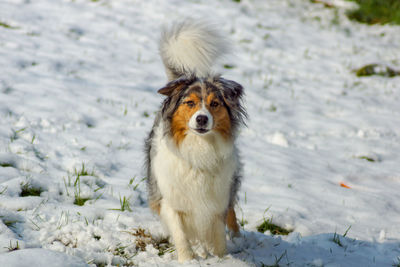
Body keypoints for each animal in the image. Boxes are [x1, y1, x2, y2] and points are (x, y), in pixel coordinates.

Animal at [146, 19, 247, 262]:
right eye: (190, 103)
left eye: (215, 104)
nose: (202, 119)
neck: (199, 149)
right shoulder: (170, 198)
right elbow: (181, 233)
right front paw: (188, 260)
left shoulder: (216, 200)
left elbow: (218, 234)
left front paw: (222, 259)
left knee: (231, 213)